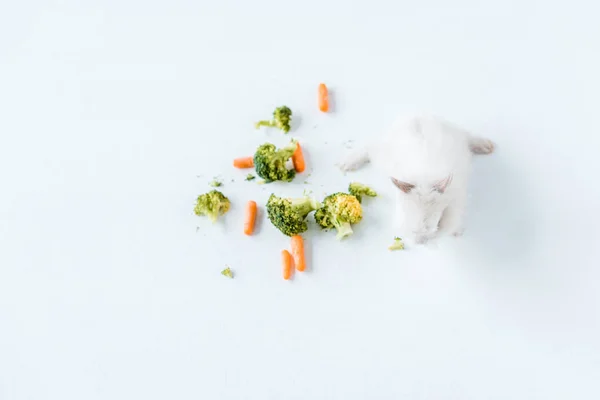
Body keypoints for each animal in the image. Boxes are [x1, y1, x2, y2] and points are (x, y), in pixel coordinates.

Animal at [340, 113, 494, 244]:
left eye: (439, 220)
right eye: (407, 212)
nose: (420, 242)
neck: (424, 179)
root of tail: (415, 115)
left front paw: (457, 233)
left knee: (468, 136)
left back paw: (486, 146)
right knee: (367, 148)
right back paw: (345, 164)